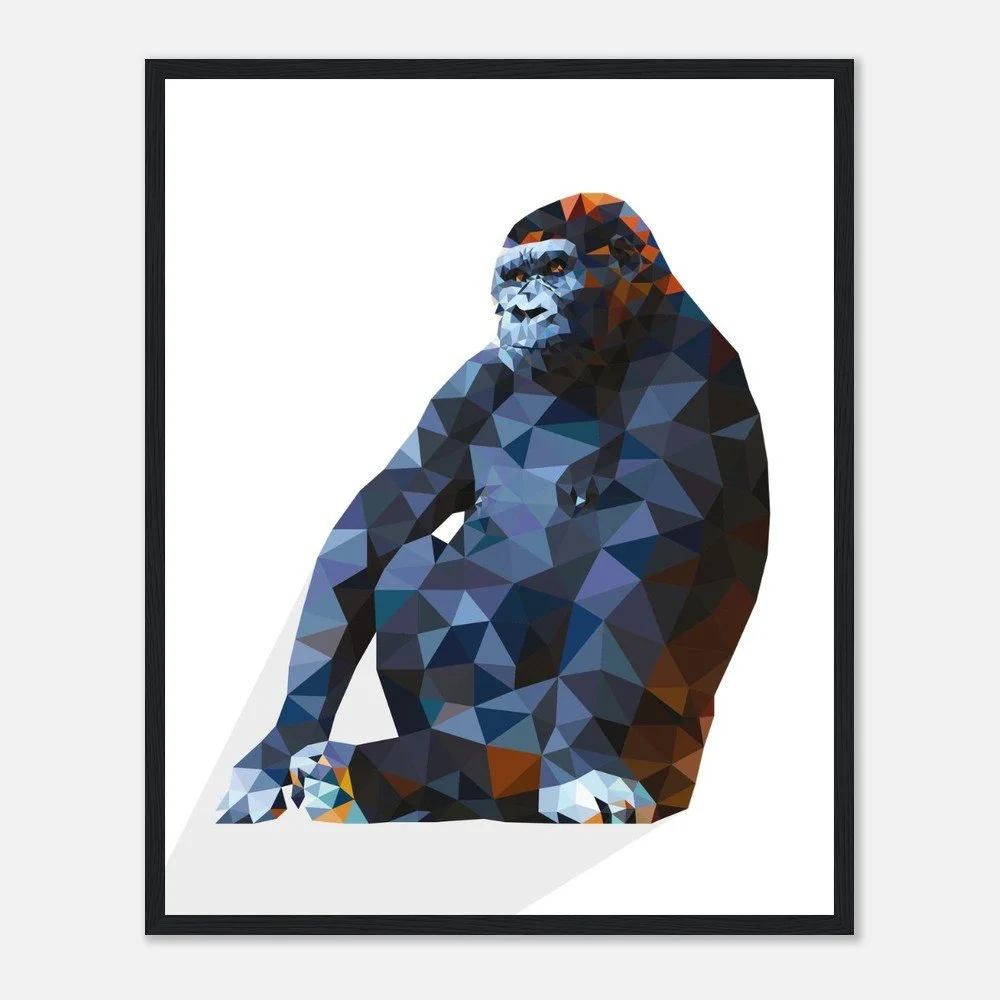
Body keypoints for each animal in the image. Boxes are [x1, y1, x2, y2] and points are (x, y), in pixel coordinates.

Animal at [216, 193, 769, 825]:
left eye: (557, 269)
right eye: (514, 277)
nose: (525, 310)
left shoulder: (696, 374)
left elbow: (642, 572)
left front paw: (579, 761)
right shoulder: (468, 381)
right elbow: (380, 514)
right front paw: (276, 746)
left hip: (670, 756)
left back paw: (383, 777)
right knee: (412, 559)